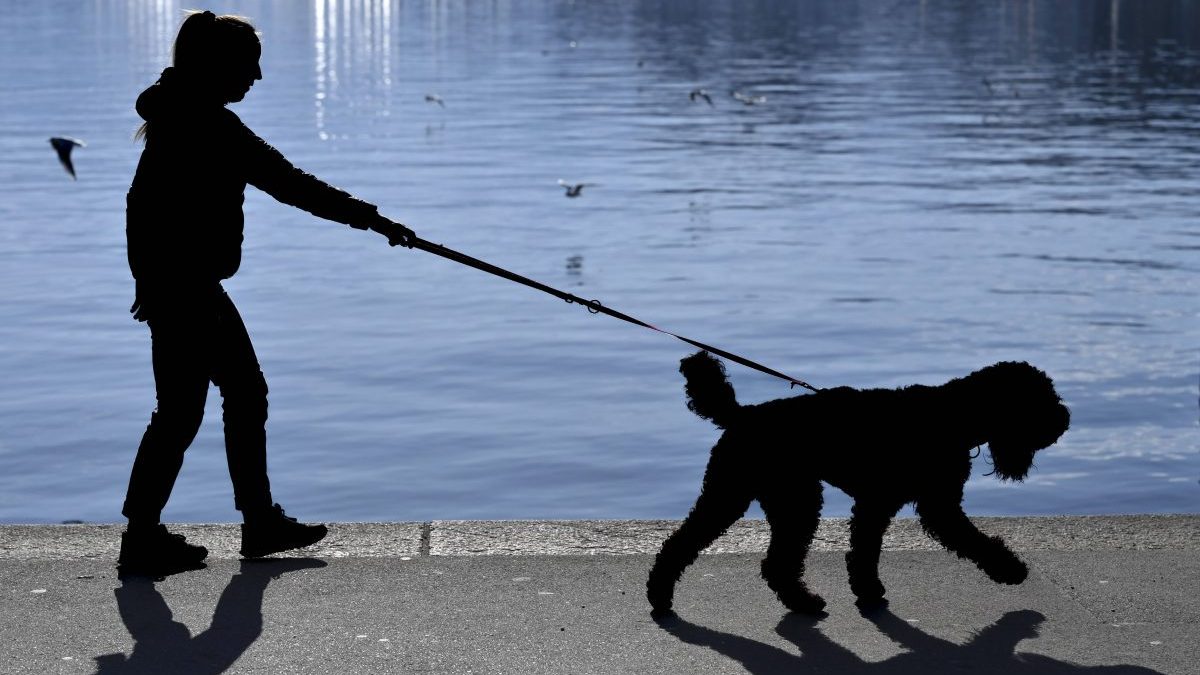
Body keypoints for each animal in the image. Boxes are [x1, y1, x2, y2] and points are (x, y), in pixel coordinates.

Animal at [648, 348, 1070, 619]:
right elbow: (968, 540)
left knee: (772, 562)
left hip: (780, 497)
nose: (1064, 421)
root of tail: (742, 415)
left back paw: (801, 602)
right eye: (1041, 399)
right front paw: (1010, 570)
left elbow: (867, 551)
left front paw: (868, 592)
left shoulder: (899, 503)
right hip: (747, 494)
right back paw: (660, 596)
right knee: (682, 545)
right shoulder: (922, 506)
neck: (951, 417)